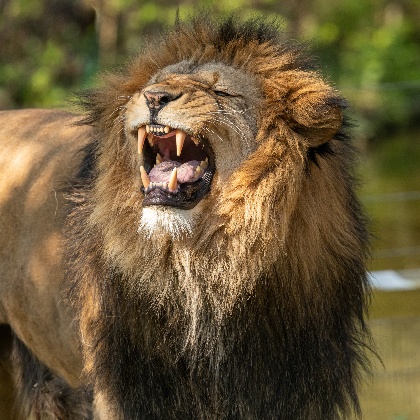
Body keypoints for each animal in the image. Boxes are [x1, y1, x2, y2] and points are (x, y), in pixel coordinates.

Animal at [0, 15, 370, 420]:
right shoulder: (129, 390)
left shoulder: (291, 389)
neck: (204, 266)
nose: (154, 97)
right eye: (153, 85)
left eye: (223, 93)